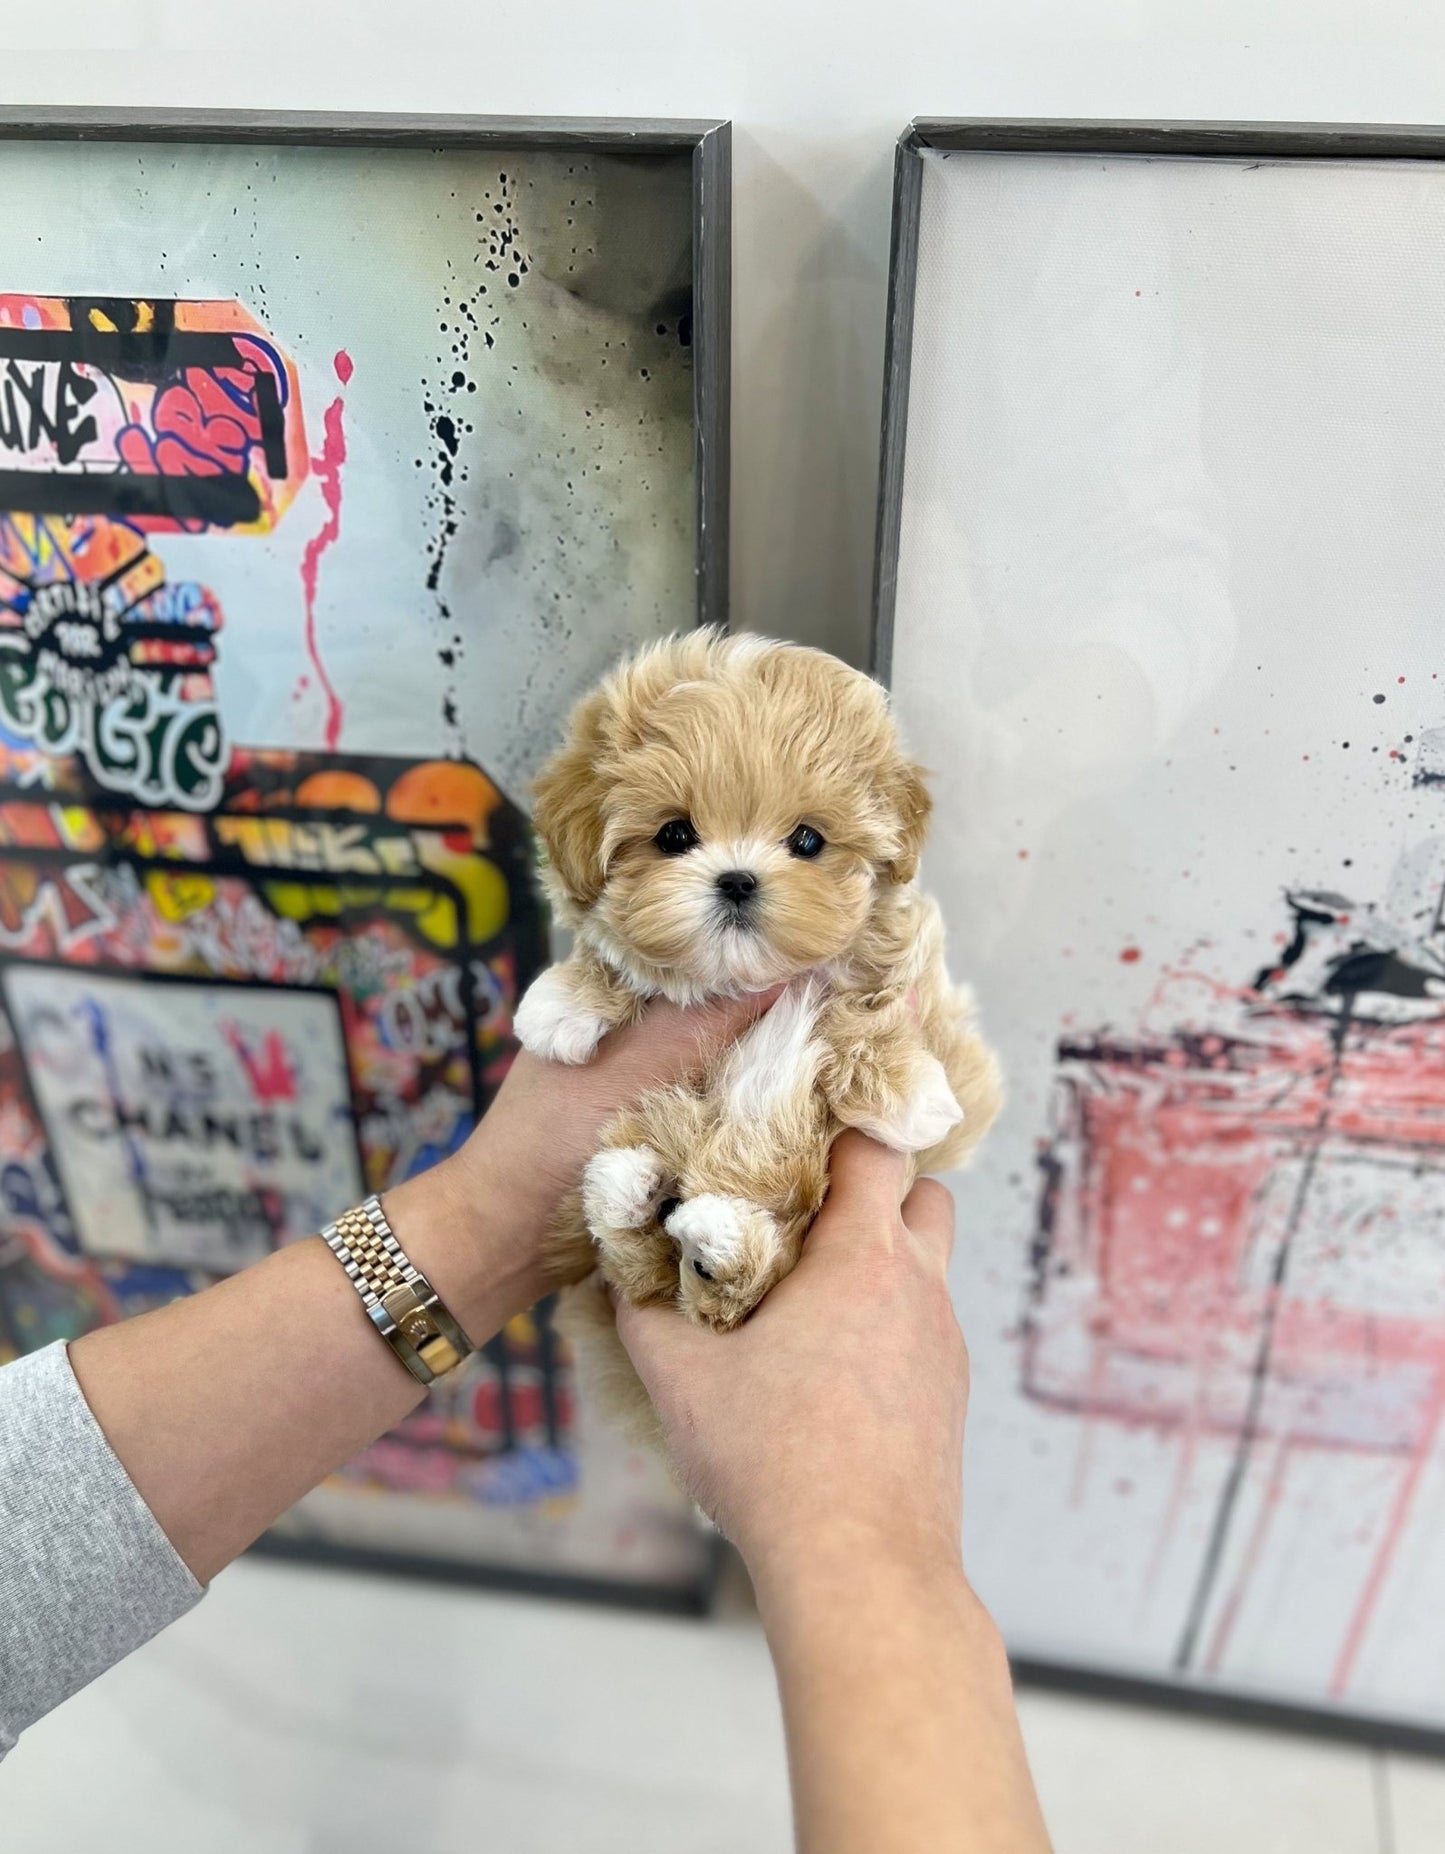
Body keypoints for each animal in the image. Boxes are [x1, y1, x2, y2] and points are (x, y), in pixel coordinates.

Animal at [515, 637, 1001, 1446]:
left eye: (807, 840)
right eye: (674, 835)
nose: (738, 880)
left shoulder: (905, 977)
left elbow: (864, 1008)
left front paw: (910, 1092)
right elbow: (613, 957)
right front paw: (562, 1001)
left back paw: (711, 1235)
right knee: (649, 1269)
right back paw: (638, 1193)